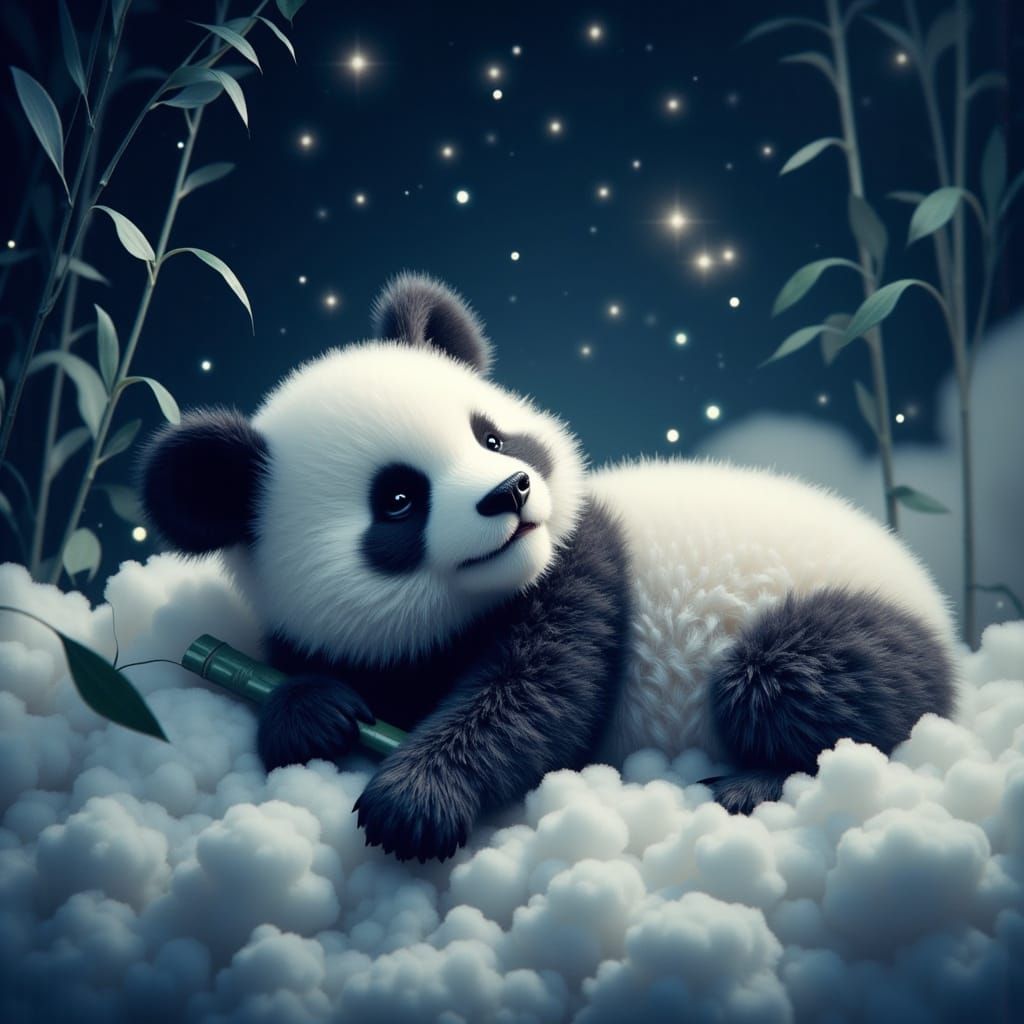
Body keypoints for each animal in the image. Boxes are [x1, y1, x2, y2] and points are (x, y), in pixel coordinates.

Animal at [139, 273, 957, 862]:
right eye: (398, 499)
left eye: (492, 438)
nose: (511, 492)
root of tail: (939, 617)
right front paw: (316, 711)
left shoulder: (581, 569)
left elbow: (539, 695)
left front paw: (413, 803)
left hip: (847, 619)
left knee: (790, 678)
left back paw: (751, 782)